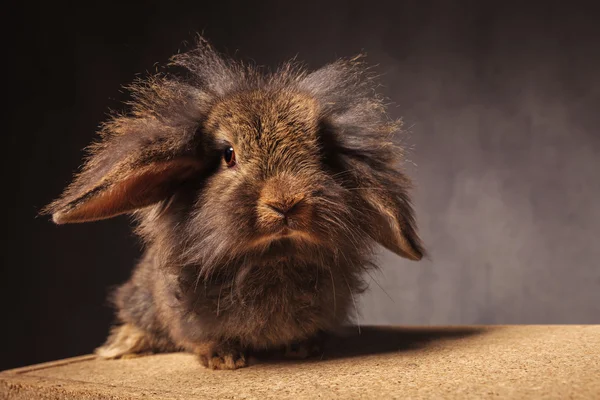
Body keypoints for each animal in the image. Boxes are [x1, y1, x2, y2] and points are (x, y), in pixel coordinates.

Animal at [42, 36, 424, 370]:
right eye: (228, 155)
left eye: (321, 154)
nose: (286, 202)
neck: (274, 256)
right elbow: (205, 338)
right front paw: (224, 360)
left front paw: (305, 347)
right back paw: (122, 346)